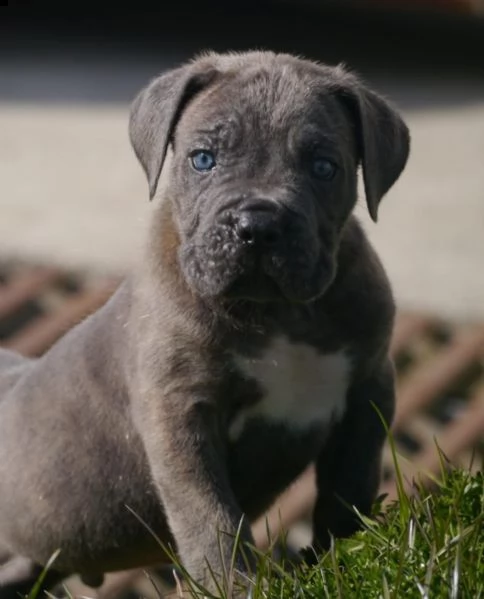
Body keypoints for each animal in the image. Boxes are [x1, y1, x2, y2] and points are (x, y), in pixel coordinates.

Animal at [0, 52, 408, 599]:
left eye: (324, 167)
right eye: (202, 159)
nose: (258, 225)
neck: (276, 313)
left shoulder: (368, 387)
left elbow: (350, 484)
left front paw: (344, 557)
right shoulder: (179, 412)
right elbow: (209, 515)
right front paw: (234, 584)